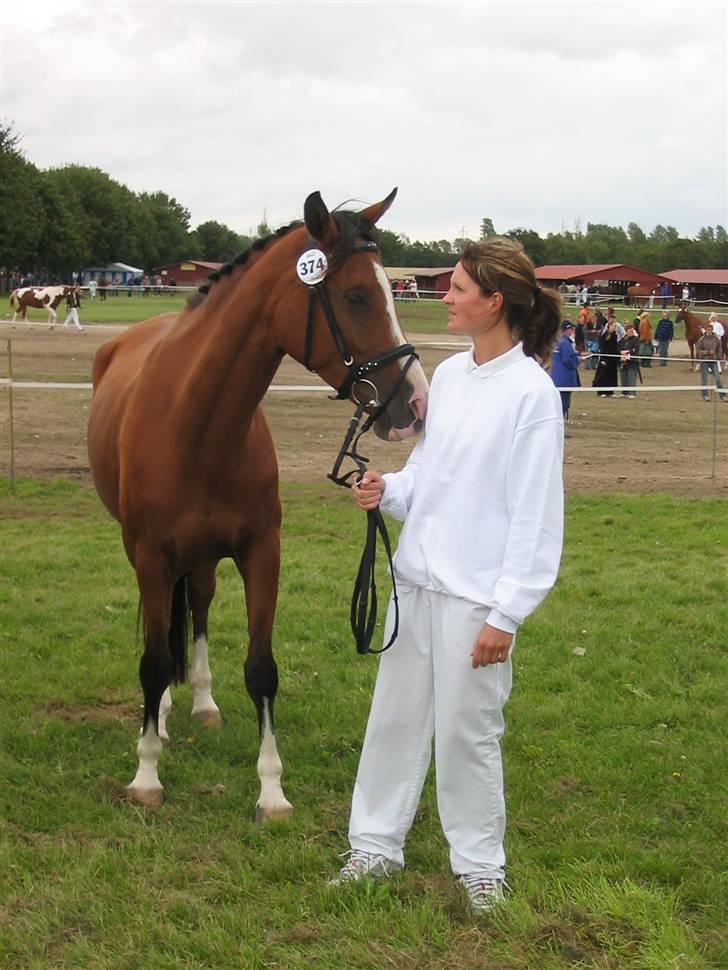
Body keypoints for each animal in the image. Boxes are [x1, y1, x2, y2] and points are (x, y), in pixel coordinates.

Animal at [87, 187, 430, 816]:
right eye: (355, 295)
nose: (415, 404)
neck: (197, 424)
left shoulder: (262, 554)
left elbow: (261, 668)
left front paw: (271, 790)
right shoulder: (151, 557)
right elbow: (153, 663)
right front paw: (146, 774)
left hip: (201, 557)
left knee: (198, 604)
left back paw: (200, 704)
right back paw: (162, 719)